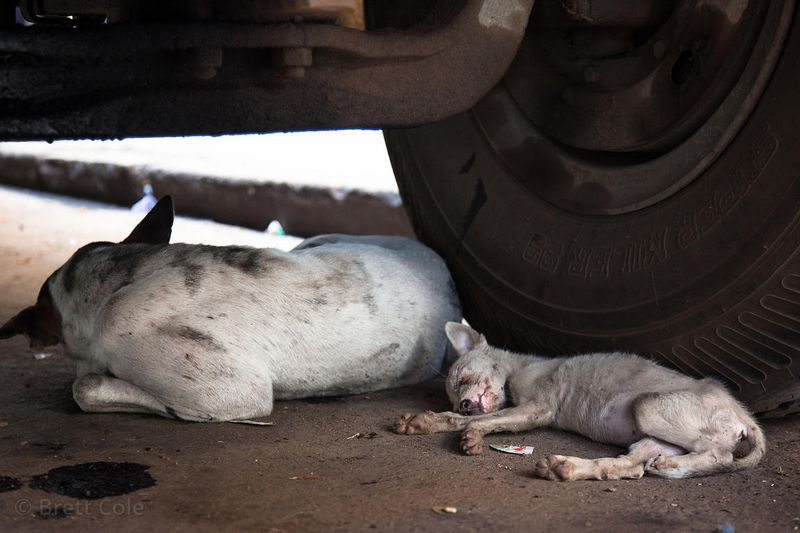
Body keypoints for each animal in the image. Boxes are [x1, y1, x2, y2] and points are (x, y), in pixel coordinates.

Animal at [396, 322, 764, 480]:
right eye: (454, 395)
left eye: (461, 379)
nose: (463, 403)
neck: (518, 371)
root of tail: (744, 416)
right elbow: (480, 417)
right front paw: (431, 421)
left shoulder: (537, 408)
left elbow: (482, 420)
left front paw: (460, 430)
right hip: (651, 440)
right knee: (630, 467)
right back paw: (567, 468)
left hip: (649, 408)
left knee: (719, 455)